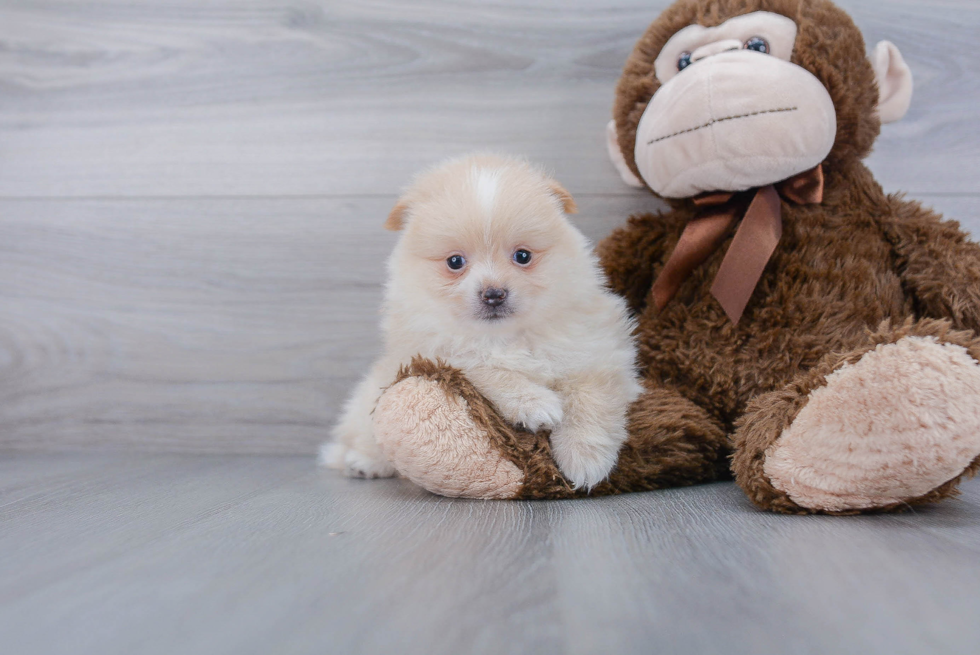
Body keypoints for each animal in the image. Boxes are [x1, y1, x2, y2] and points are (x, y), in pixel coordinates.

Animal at [322, 154, 644, 490]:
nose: (493, 293)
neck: (506, 336)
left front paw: (584, 457)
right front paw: (534, 403)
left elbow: (591, 397)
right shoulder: (434, 353)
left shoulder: (598, 349)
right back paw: (363, 462)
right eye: (455, 262)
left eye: (523, 256)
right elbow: (486, 368)